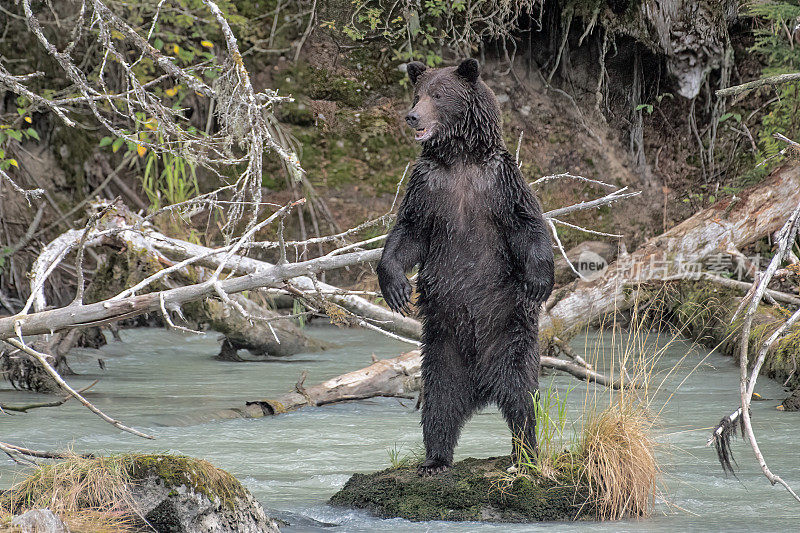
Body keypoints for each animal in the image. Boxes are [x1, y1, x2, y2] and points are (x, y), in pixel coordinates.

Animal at [376, 57, 552, 474]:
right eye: (417, 93)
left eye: (438, 94)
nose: (411, 116)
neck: (459, 158)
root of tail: (482, 386)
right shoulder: (428, 189)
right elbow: (408, 233)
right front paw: (396, 288)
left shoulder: (500, 183)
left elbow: (527, 223)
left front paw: (540, 280)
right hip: (443, 346)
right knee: (440, 401)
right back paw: (435, 459)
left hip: (509, 333)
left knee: (522, 397)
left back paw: (526, 454)